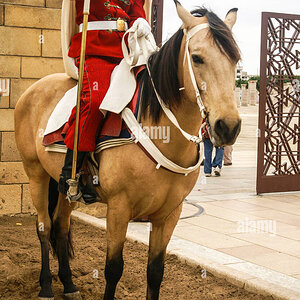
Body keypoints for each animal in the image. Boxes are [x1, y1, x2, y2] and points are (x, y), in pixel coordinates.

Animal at [14, 2, 241, 300]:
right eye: (197, 57)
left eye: (235, 59)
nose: (228, 126)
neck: (161, 129)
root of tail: (34, 88)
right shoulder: (119, 208)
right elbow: (113, 269)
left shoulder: (170, 213)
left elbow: (155, 272)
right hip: (35, 173)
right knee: (44, 227)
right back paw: (46, 287)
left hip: (64, 187)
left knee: (61, 226)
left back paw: (70, 284)